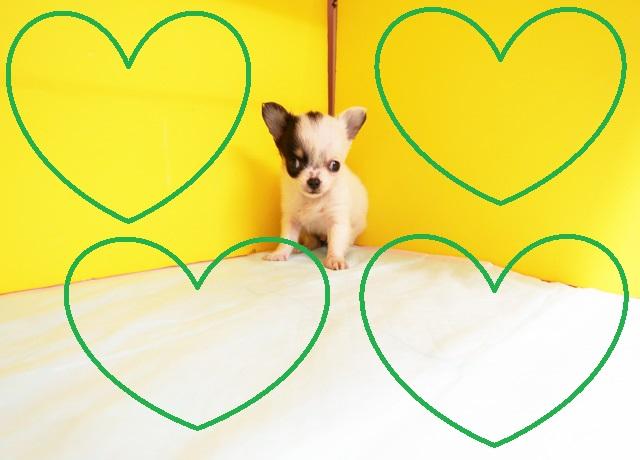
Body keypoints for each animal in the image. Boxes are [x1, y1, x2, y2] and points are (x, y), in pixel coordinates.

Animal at [261, 102, 368, 270]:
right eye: (294, 163)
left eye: (335, 165)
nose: (314, 181)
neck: (313, 200)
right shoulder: (291, 219)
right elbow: (287, 238)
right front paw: (280, 253)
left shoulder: (337, 220)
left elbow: (336, 241)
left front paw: (335, 258)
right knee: (312, 240)